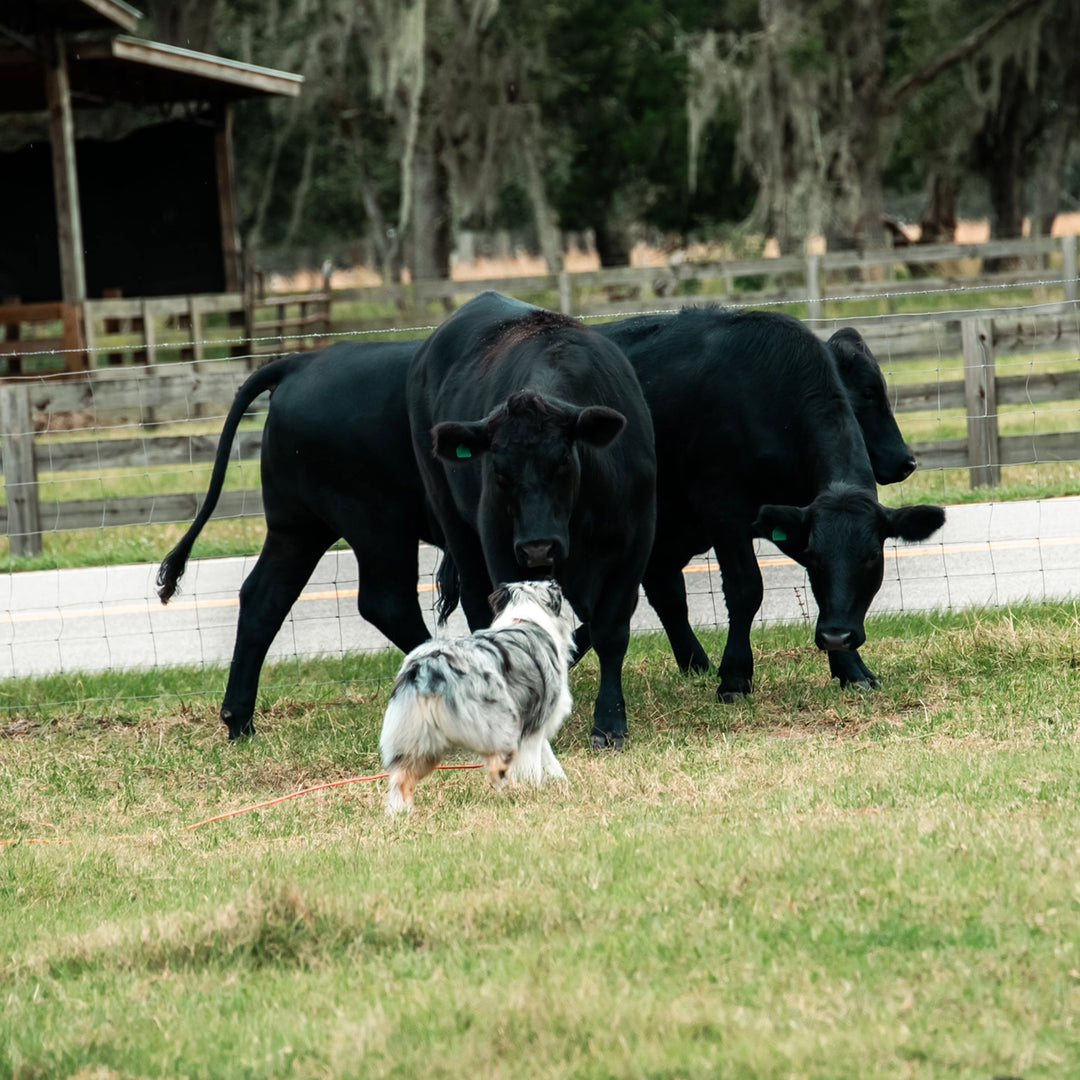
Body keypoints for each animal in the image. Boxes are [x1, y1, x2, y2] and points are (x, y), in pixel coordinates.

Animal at [157, 341, 438, 738]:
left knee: (264, 598)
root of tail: (303, 360)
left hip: (296, 526)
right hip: (378, 518)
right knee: (386, 602)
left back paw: (239, 721)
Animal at [378, 583, 574, 812]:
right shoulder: (536, 718)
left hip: (416, 740)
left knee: (401, 779)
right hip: (500, 723)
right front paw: (539, 789)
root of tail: (429, 667)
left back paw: (401, 813)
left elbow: (549, 757)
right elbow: (536, 763)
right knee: (497, 768)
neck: (525, 614)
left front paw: (561, 781)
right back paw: (514, 792)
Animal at [406, 291, 652, 747]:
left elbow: (610, 631)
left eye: (563, 462)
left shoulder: (634, 545)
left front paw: (609, 721)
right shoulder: (502, 546)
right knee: (477, 605)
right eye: (500, 471)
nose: (539, 546)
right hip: (455, 523)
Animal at [591, 308, 946, 704]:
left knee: (665, 588)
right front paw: (735, 677)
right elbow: (746, 588)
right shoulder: (722, 509)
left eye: (873, 557)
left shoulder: (794, 516)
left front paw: (851, 668)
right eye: (869, 393)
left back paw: (695, 664)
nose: (907, 462)